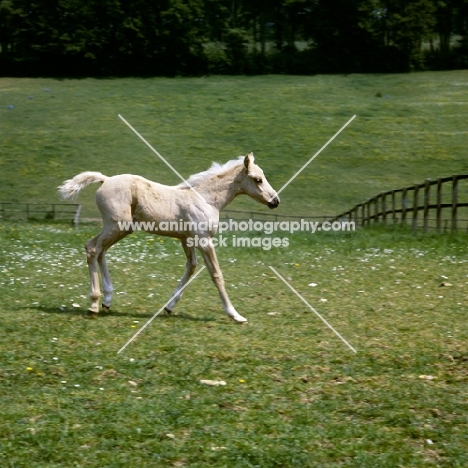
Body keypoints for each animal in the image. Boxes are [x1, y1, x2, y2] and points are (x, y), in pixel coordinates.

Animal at [58, 153, 278, 322]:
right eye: (258, 179)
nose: (275, 201)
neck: (205, 199)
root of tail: (105, 179)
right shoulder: (204, 241)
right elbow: (216, 275)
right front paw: (235, 315)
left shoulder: (186, 239)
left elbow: (191, 267)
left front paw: (169, 307)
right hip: (117, 226)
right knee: (93, 249)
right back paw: (94, 304)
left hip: (121, 228)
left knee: (98, 250)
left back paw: (107, 300)